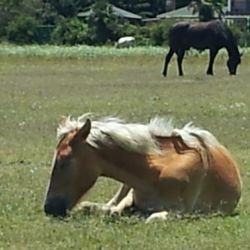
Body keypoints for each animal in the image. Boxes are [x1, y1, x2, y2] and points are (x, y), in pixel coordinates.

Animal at [43, 114, 242, 223]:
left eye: (64, 160)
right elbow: (111, 209)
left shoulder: (182, 211)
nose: (49, 208)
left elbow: (151, 218)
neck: (155, 173)